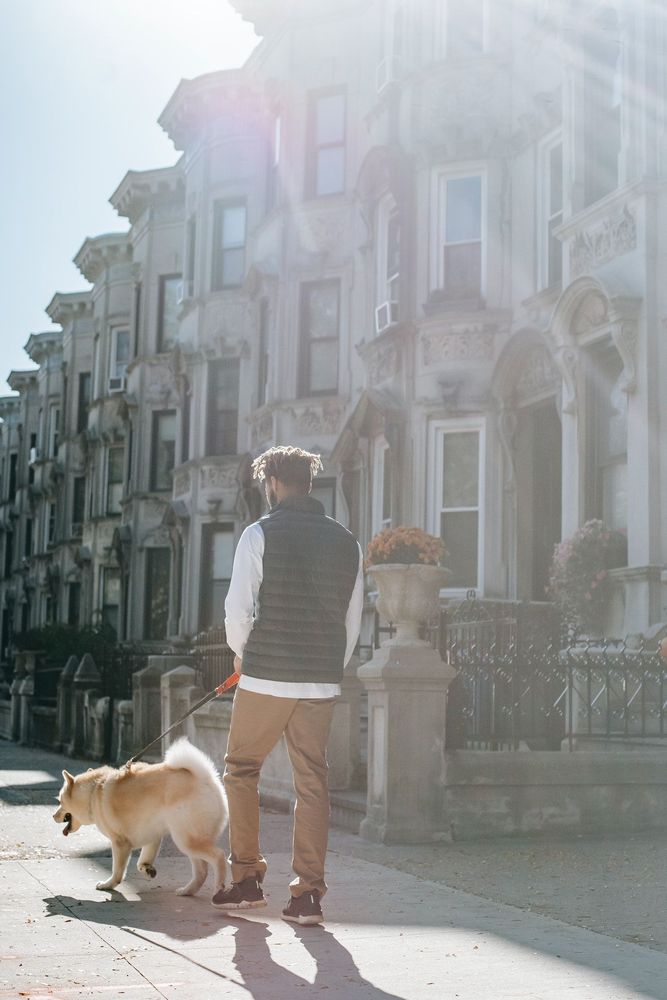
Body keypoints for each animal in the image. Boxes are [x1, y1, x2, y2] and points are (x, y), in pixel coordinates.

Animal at [52, 736, 230, 900]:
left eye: (60, 801)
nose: (53, 815)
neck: (92, 792)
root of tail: (205, 779)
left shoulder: (120, 843)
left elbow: (117, 871)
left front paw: (109, 884)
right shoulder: (153, 836)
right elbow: (141, 861)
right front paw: (147, 869)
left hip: (186, 840)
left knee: (219, 857)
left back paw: (218, 890)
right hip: (187, 841)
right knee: (201, 871)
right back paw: (187, 891)